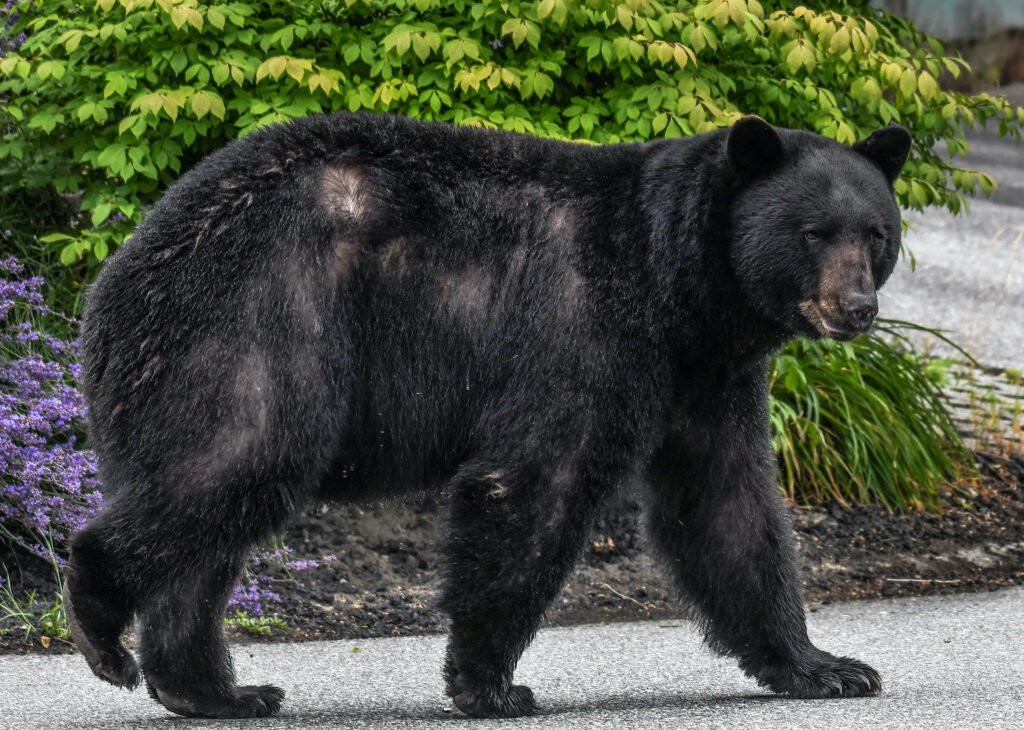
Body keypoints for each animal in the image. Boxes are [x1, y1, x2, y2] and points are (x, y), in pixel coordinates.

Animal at [66, 113, 913, 716]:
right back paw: (102, 626)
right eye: (813, 233)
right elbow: (538, 480)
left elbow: (727, 502)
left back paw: (214, 690)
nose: (857, 309)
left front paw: (827, 667)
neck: (679, 286)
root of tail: (121, 271)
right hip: (264, 315)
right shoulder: (583, 325)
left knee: (211, 523)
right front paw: (491, 684)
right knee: (239, 458)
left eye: (877, 233)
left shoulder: (706, 375)